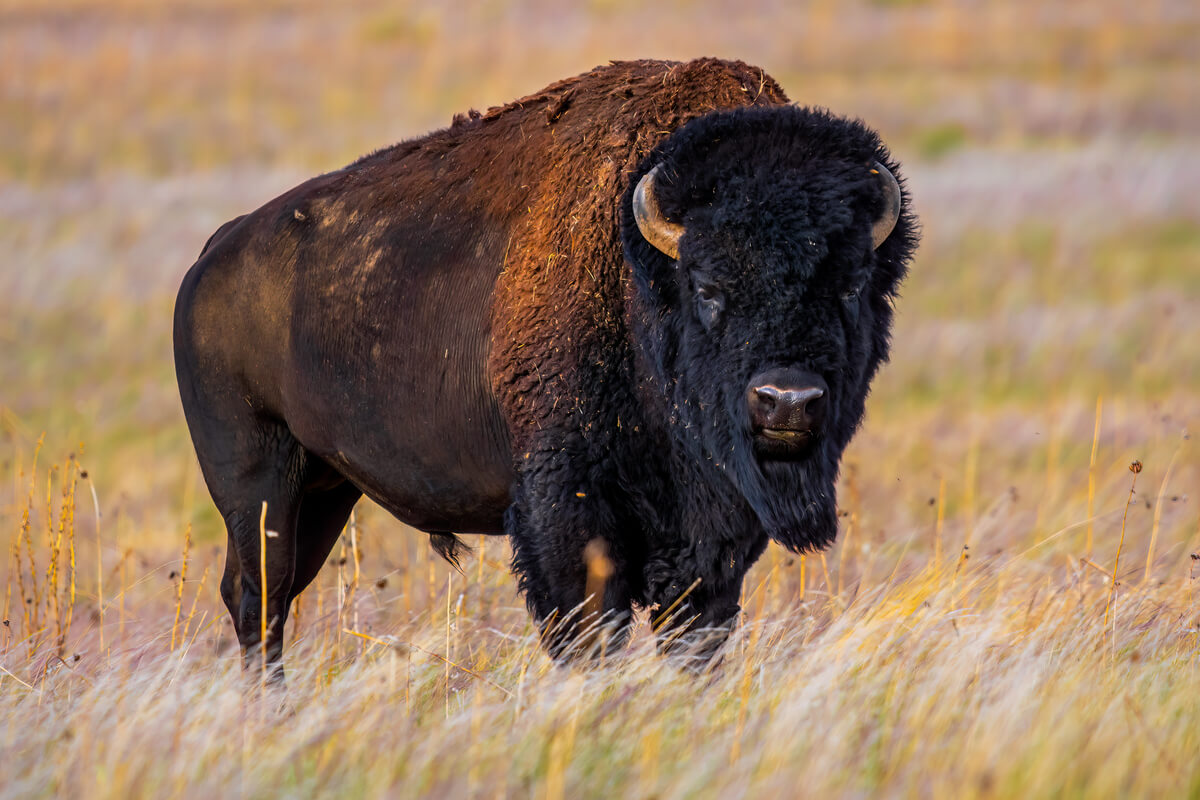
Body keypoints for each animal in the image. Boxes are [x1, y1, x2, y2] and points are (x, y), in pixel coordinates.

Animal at [173, 58, 918, 672]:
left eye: (852, 284)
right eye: (708, 287)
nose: (786, 401)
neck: (640, 277)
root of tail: (212, 256)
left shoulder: (712, 537)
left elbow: (693, 633)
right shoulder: (566, 511)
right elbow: (588, 632)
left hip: (325, 489)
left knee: (274, 593)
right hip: (257, 479)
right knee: (258, 597)